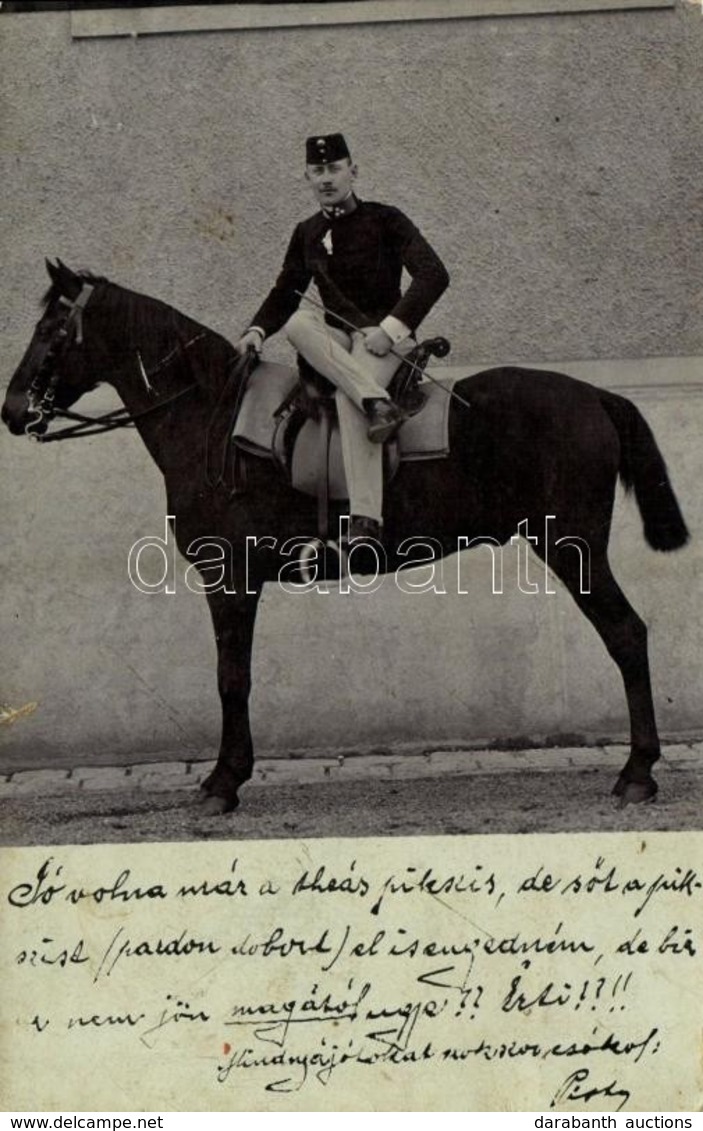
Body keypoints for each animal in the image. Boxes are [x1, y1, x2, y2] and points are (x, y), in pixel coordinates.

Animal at [0, 262, 691, 814]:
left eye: (54, 332)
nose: (12, 411)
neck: (211, 419)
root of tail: (595, 396)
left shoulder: (230, 579)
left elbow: (231, 677)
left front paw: (224, 781)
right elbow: (233, 676)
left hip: (575, 550)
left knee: (627, 635)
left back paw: (637, 774)